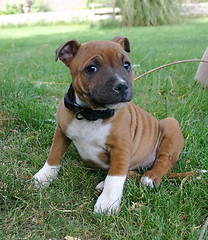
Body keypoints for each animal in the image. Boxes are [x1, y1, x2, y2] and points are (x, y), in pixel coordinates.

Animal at [33, 37, 184, 216]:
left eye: (126, 65)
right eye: (92, 68)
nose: (122, 86)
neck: (91, 114)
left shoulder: (121, 148)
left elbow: (115, 176)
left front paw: (107, 202)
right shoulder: (61, 132)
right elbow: (54, 155)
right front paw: (43, 177)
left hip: (171, 124)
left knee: (164, 162)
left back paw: (151, 177)